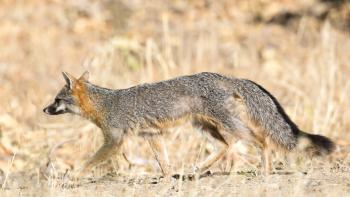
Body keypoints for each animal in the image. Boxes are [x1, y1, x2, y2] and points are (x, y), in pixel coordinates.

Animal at [43, 71, 334, 175]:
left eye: (56, 100)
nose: (44, 109)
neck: (105, 103)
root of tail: (226, 76)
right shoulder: (152, 135)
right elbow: (162, 160)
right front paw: (167, 176)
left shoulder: (114, 140)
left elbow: (89, 161)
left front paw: (72, 176)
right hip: (205, 127)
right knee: (225, 147)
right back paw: (198, 169)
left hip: (227, 124)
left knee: (259, 140)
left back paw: (266, 168)